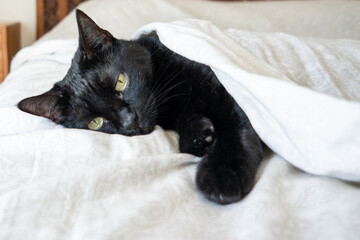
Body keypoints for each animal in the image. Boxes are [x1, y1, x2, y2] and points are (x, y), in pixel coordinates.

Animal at [17, 9, 264, 204]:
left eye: (120, 82)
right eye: (95, 122)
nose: (129, 121)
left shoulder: (226, 86)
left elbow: (237, 125)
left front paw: (222, 175)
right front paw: (199, 136)